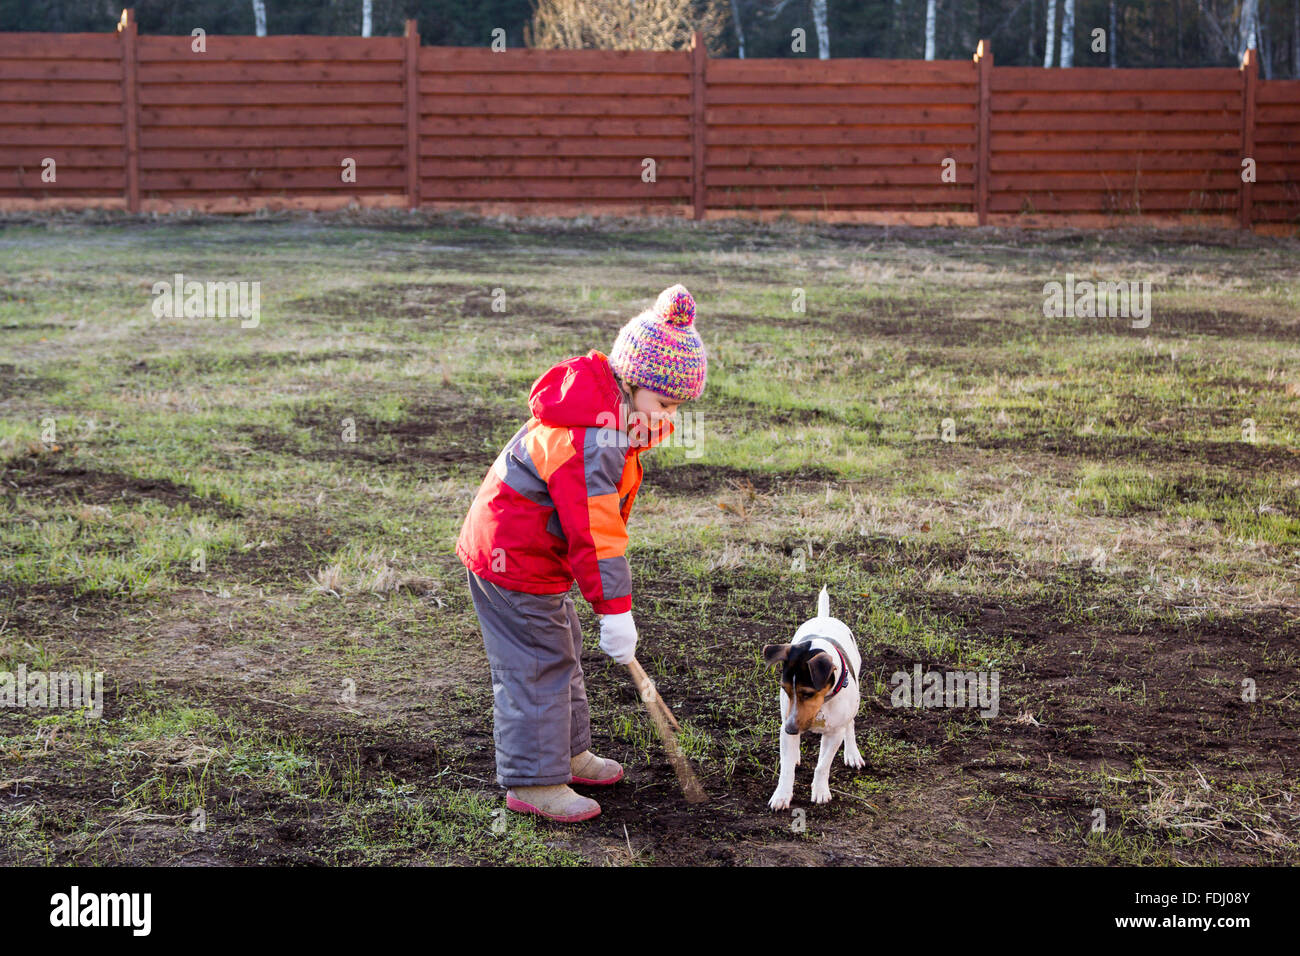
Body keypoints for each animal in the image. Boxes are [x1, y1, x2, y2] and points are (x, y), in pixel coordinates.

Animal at [759, 582, 863, 806]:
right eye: (785, 689)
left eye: (807, 693)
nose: (790, 729)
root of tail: (824, 617)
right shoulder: (786, 722)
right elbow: (786, 768)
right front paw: (782, 795)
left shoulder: (834, 732)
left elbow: (823, 765)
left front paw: (820, 790)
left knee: (849, 724)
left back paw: (852, 753)